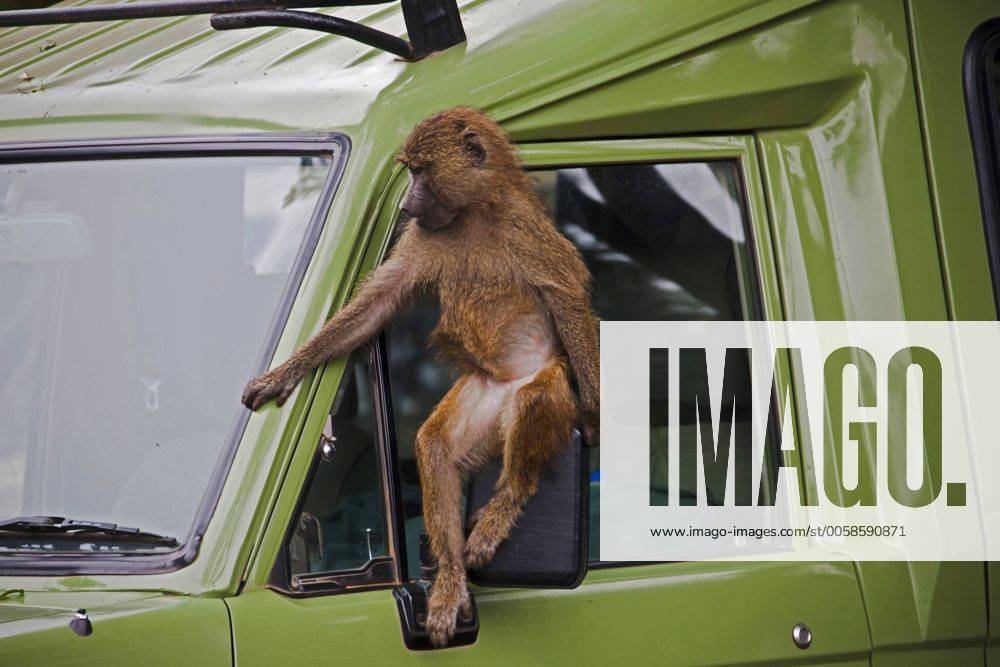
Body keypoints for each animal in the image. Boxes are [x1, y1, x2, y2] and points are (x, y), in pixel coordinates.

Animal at [242, 106, 599, 647]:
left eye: (422, 171)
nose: (407, 204)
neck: (472, 214)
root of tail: (504, 388)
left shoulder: (524, 228)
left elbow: (567, 294)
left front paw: (597, 414)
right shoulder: (424, 238)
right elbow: (378, 304)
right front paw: (285, 372)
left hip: (544, 381)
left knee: (534, 409)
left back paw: (501, 510)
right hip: (481, 398)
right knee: (436, 447)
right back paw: (450, 582)